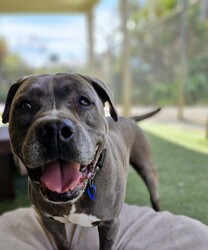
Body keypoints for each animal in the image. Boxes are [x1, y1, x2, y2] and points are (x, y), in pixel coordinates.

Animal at [2, 73, 161, 250]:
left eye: (84, 101)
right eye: (25, 105)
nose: (54, 129)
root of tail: (130, 119)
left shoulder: (110, 224)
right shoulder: (51, 223)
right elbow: (63, 244)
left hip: (147, 169)